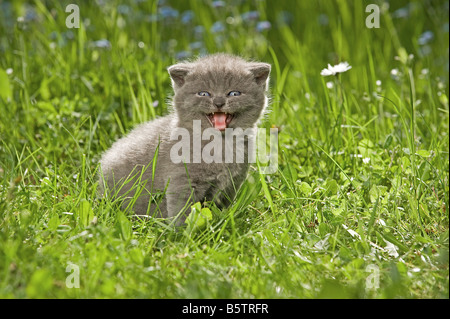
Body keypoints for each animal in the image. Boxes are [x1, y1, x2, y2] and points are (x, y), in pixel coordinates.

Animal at [99, 53, 270, 225]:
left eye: (234, 93)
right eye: (204, 94)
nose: (219, 102)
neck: (219, 144)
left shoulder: (232, 183)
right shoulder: (182, 180)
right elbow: (182, 210)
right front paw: (182, 230)